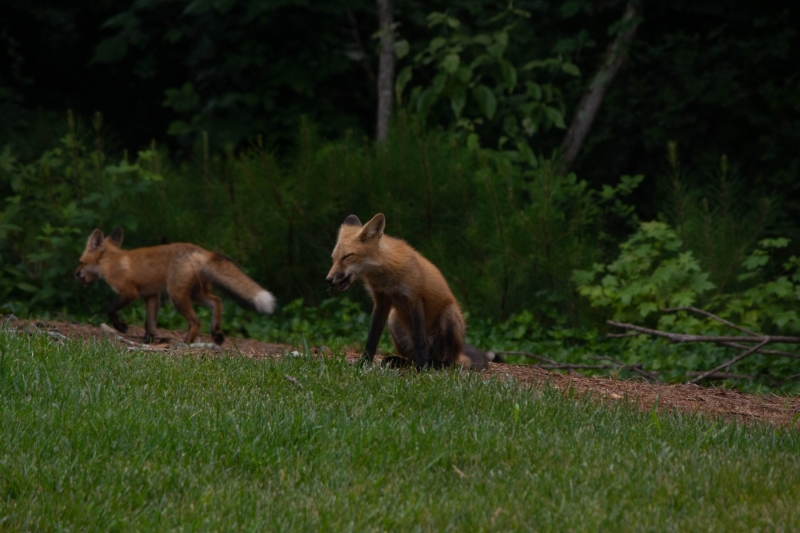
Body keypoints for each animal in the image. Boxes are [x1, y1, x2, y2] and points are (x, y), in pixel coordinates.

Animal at [74, 227, 275, 345]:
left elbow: (110, 309)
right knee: (217, 301)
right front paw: (148, 340)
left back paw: (186, 343)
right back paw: (217, 334)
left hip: (177, 296)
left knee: (196, 321)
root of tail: (200, 250)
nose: (75, 274)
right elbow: (150, 322)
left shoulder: (129, 292)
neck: (112, 261)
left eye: (81, 262)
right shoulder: (151, 295)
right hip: (195, 294)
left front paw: (121, 327)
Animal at [325, 213, 492, 370]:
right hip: (393, 319)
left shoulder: (414, 299)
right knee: (411, 358)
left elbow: (420, 341)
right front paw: (363, 364)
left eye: (347, 256)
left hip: (449, 315)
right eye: (333, 258)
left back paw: (433, 364)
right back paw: (401, 362)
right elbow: (371, 339)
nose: (328, 279)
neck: (386, 276)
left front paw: (422, 369)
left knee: (448, 361)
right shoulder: (381, 301)